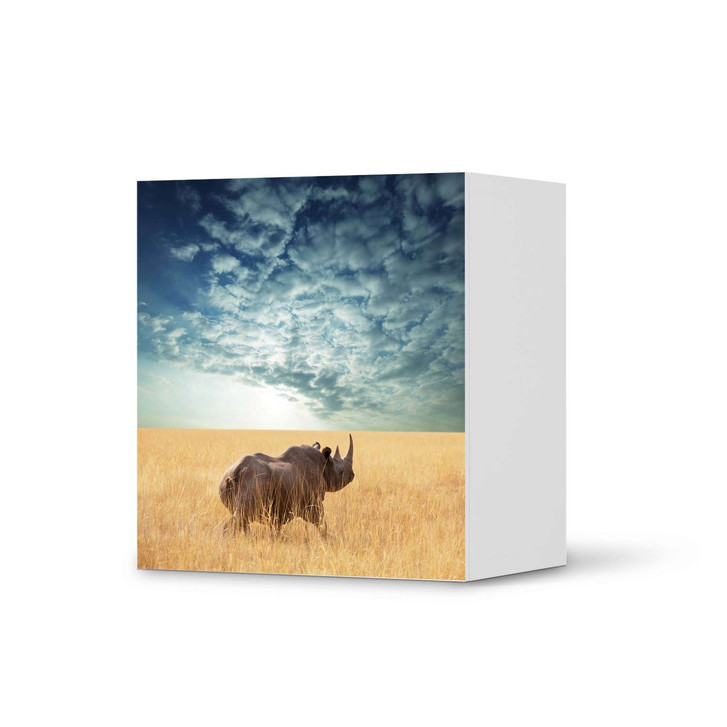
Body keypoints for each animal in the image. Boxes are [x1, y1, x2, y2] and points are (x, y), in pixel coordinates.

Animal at [219, 435, 355, 537]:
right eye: (341, 472)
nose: (352, 475)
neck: (324, 466)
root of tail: (236, 471)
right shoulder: (313, 502)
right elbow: (322, 524)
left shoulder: (277, 509)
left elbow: (275, 529)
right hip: (254, 481)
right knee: (240, 517)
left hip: (232, 481)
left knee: (243, 520)